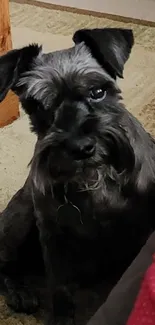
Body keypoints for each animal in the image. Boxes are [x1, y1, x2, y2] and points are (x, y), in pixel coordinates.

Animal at [0, 28, 155, 324]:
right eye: (39, 105)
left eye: (98, 91)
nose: (81, 147)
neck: (94, 178)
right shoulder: (54, 235)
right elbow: (60, 288)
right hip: (20, 218)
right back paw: (20, 292)